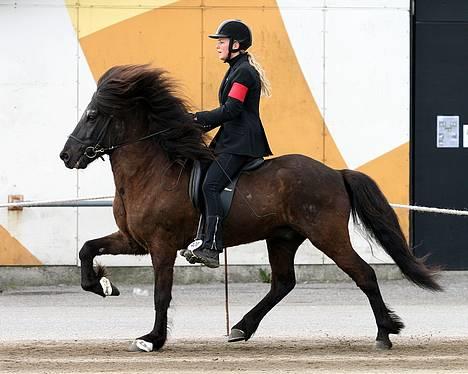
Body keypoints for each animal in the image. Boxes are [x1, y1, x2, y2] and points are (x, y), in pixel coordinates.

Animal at [60, 64, 440, 354]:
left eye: (92, 116)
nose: (66, 155)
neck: (151, 171)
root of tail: (335, 173)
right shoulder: (134, 240)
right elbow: (87, 249)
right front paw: (102, 285)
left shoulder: (161, 245)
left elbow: (161, 294)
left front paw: (152, 340)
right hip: (283, 238)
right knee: (283, 283)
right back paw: (241, 328)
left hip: (327, 235)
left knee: (364, 274)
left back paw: (384, 333)